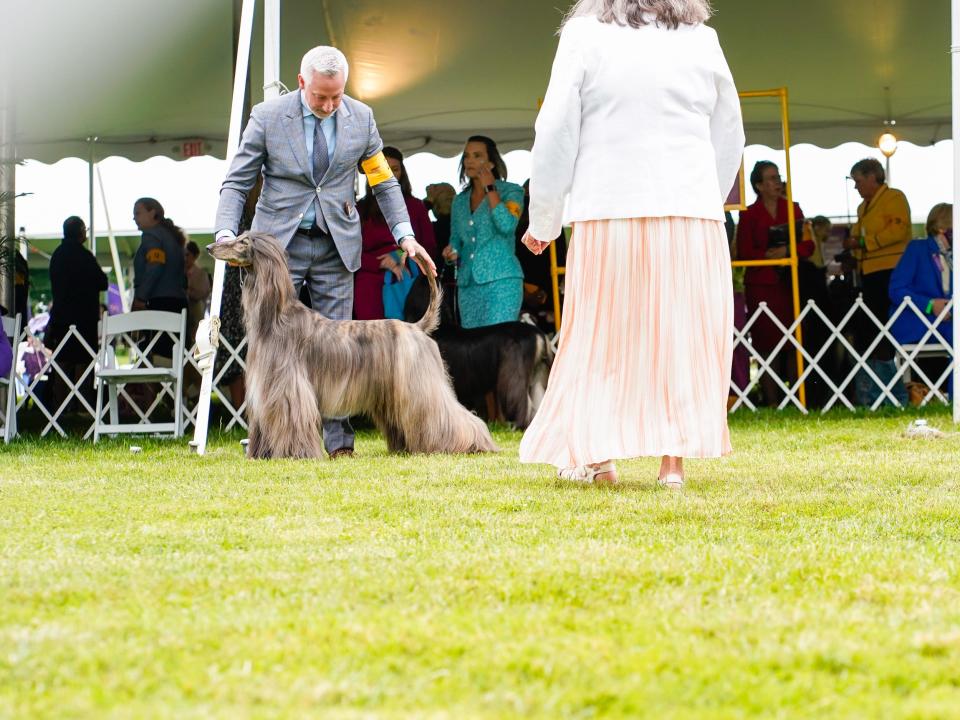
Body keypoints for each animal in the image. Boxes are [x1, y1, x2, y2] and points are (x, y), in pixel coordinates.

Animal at [207, 233, 498, 458]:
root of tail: (416, 327)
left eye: (243, 242)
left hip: (420, 385)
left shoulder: (289, 388)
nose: (211, 247)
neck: (277, 317)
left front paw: (296, 454)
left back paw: (474, 443)